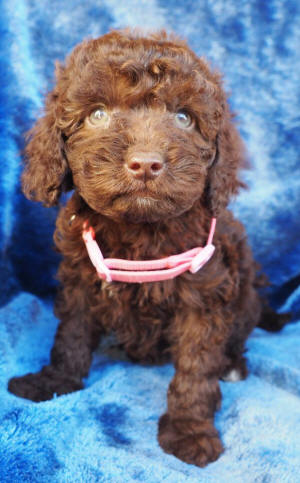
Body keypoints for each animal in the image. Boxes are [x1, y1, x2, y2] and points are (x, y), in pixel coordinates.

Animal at [8, 30, 288, 468]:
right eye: (98, 115)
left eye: (184, 118)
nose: (145, 163)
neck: (140, 230)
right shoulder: (81, 279)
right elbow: (71, 335)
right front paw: (55, 381)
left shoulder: (204, 293)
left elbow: (195, 368)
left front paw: (190, 431)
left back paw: (233, 366)